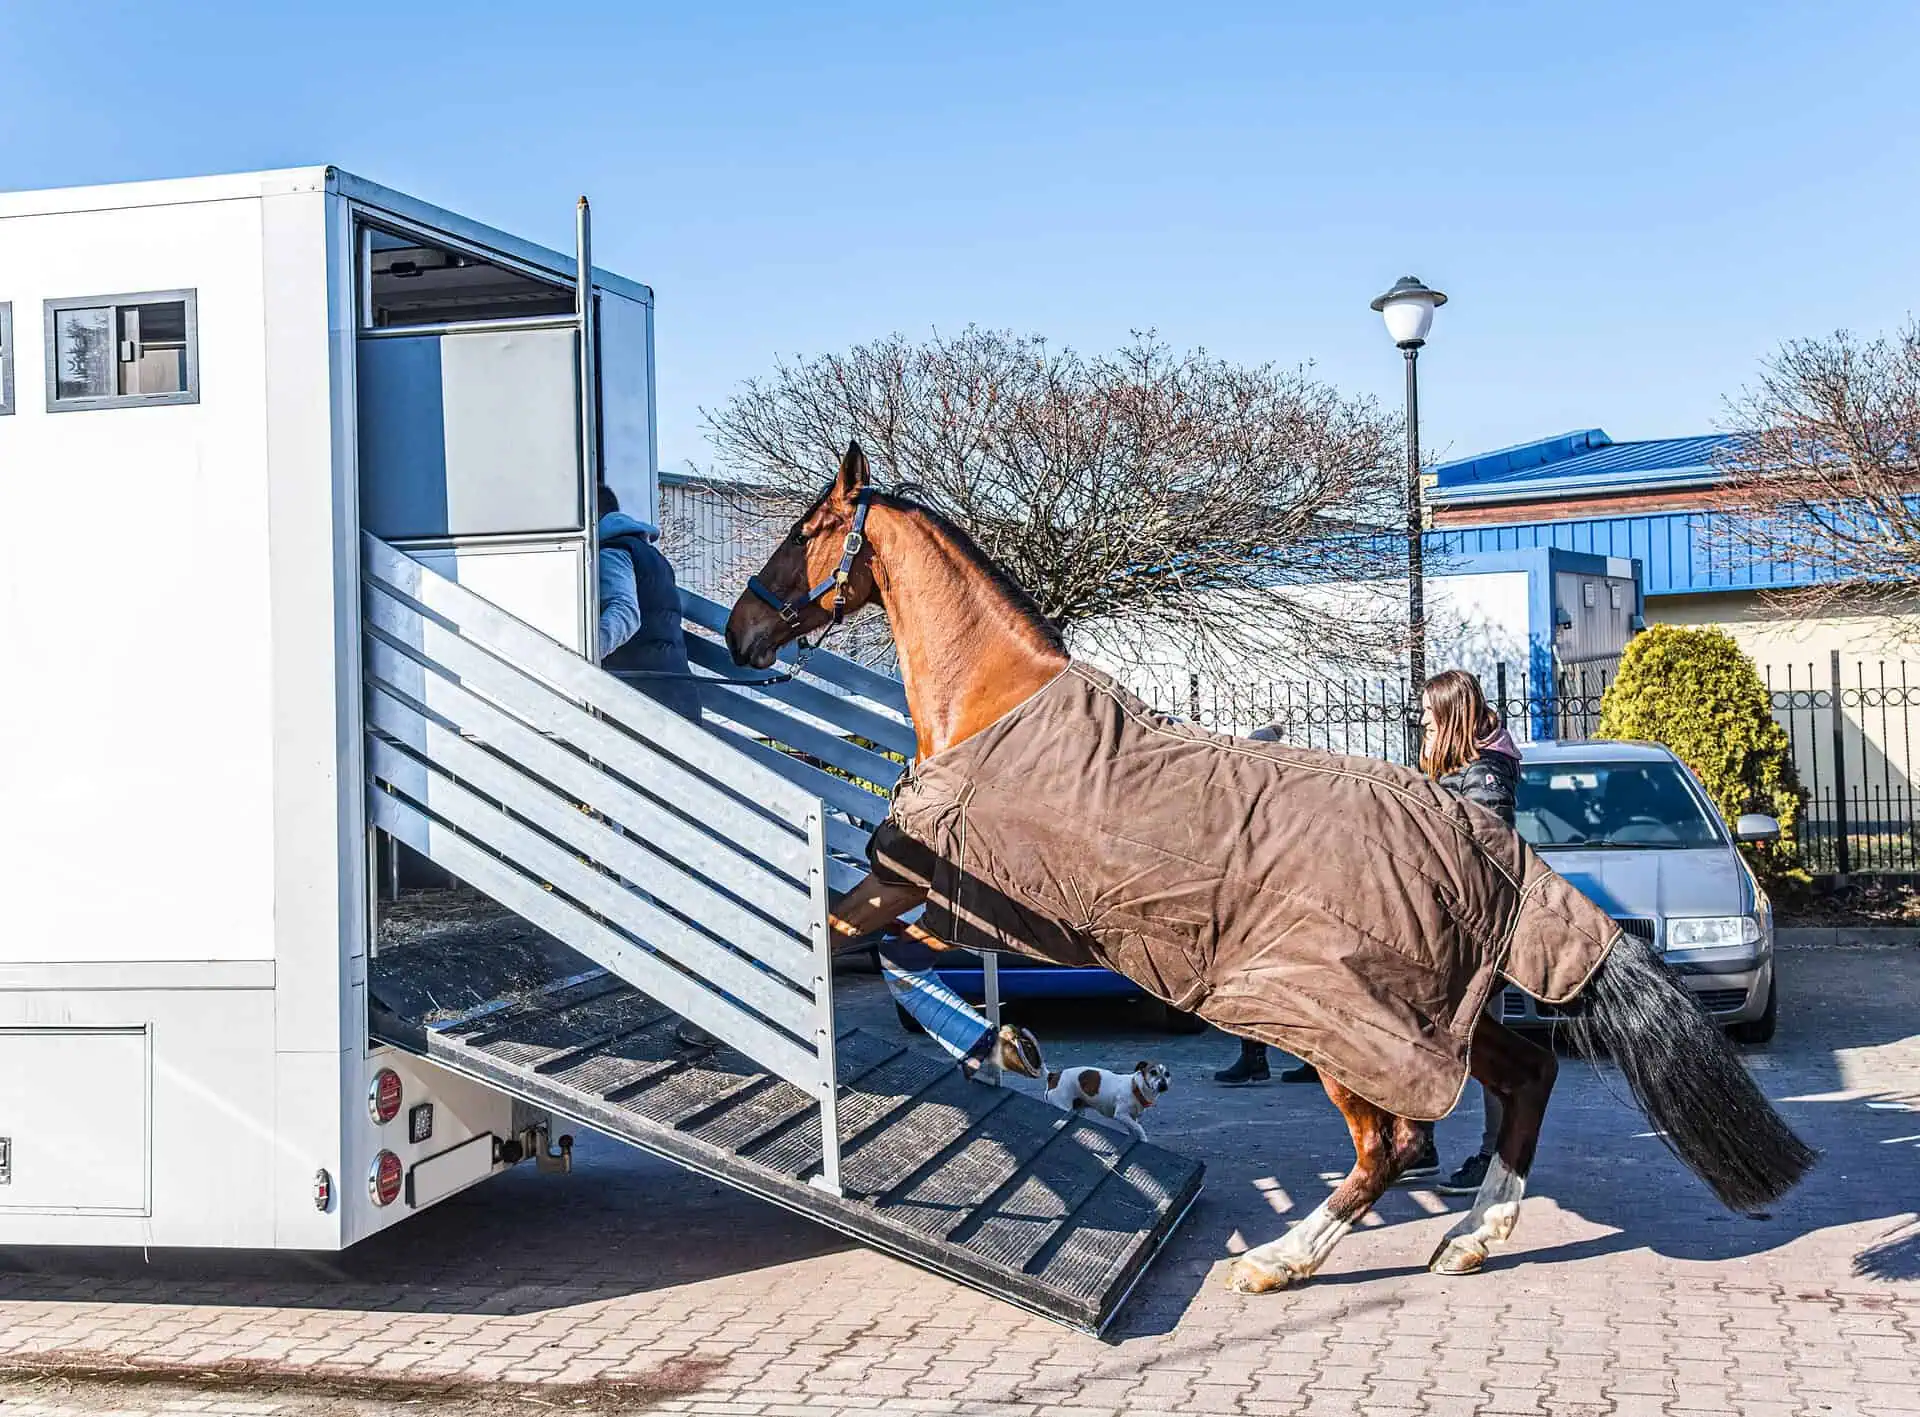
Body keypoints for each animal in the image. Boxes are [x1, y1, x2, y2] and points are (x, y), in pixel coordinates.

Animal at [724, 440, 1815, 1293]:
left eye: (808, 527)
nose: (741, 630)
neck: (996, 703)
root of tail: (1488, 842)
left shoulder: (932, 890)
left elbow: (853, 933)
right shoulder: (972, 909)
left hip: (1345, 1021)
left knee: (1392, 1145)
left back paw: (1283, 1258)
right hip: (1437, 1012)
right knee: (1526, 1075)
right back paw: (1471, 1236)